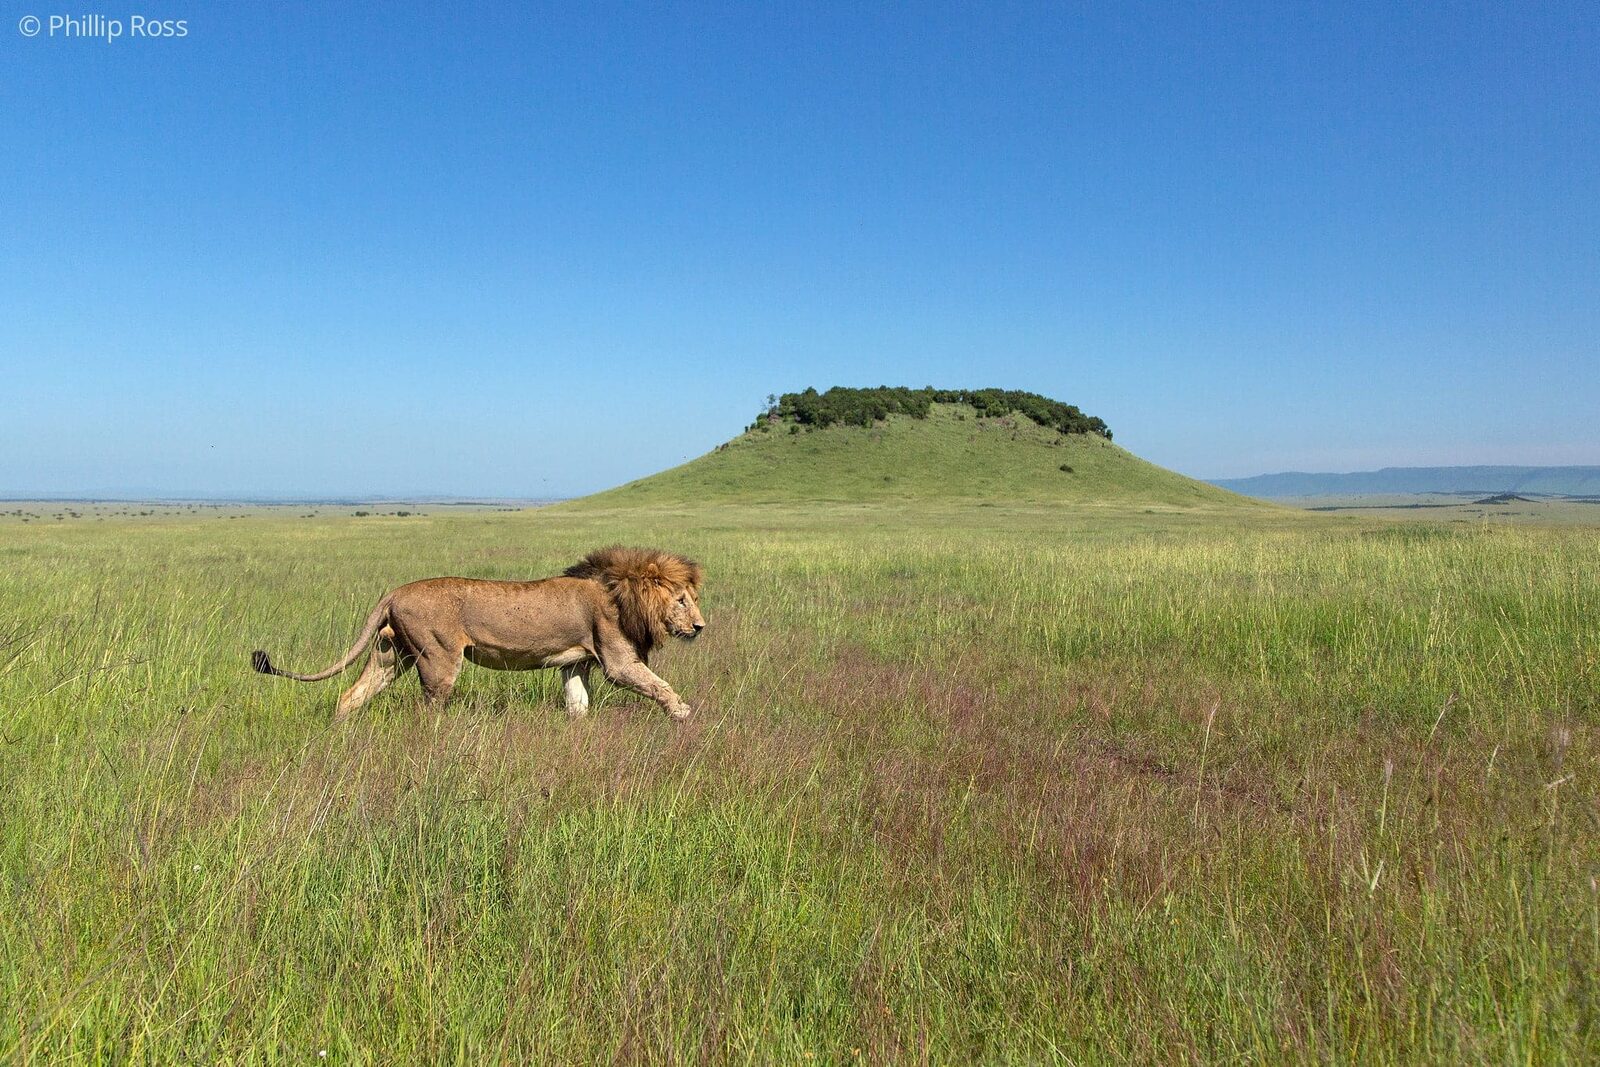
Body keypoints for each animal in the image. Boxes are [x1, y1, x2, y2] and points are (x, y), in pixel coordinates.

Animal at [251, 546, 704, 721]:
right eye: (682, 600)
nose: (701, 627)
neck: (621, 593)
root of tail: (394, 591)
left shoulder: (576, 662)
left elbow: (578, 703)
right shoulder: (617, 661)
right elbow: (659, 685)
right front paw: (684, 714)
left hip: (390, 655)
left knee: (351, 694)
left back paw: (340, 733)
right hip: (438, 659)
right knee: (429, 708)